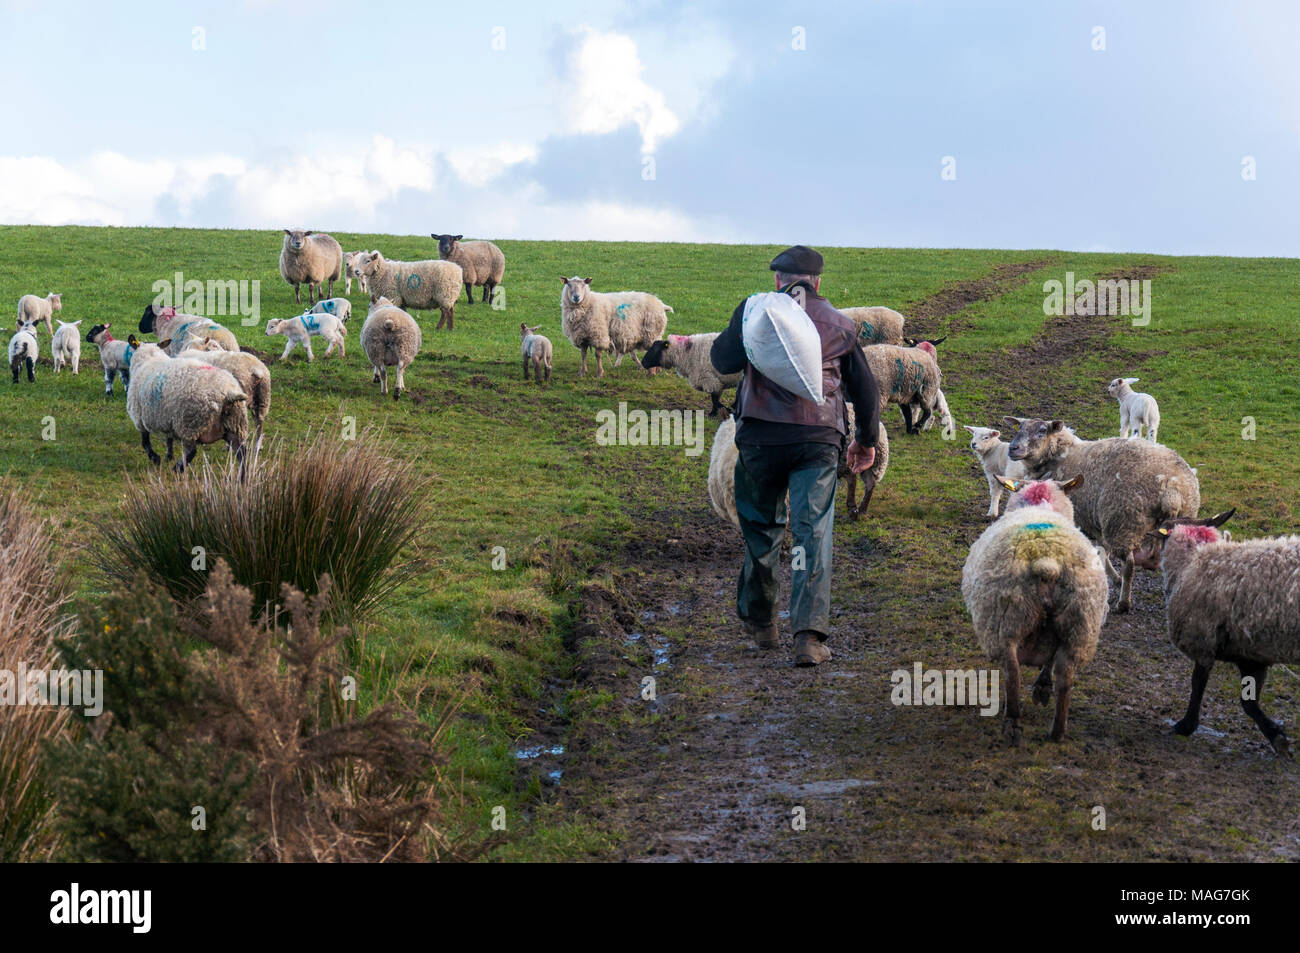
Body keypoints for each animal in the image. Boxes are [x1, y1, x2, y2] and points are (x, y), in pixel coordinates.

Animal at [967, 475, 1107, 743]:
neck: (1041, 504)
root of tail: (1048, 562)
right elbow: (1049, 663)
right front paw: (1043, 688)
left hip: (1008, 621)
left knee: (1012, 673)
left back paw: (1012, 723)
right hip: (1077, 627)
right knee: (1064, 679)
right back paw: (1056, 730)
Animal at [998, 413, 1201, 608]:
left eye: (1041, 431)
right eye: (1019, 427)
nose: (1013, 448)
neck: (1062, 456)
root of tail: (1171, 489)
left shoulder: (1082, 518)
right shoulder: (1093, 519)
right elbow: (1102, 549)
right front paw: (1111, 577)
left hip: (1123, 520)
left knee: (1129, 565)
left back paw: (1123, 603)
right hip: (1177, 520)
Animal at [1154, 517, 1294, 754]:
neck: (1192, 562)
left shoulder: (1202, 638)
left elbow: (1197, 684)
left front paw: (1186, 725)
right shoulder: (1253, 655)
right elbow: (1249, 703)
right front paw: (1276, 735)